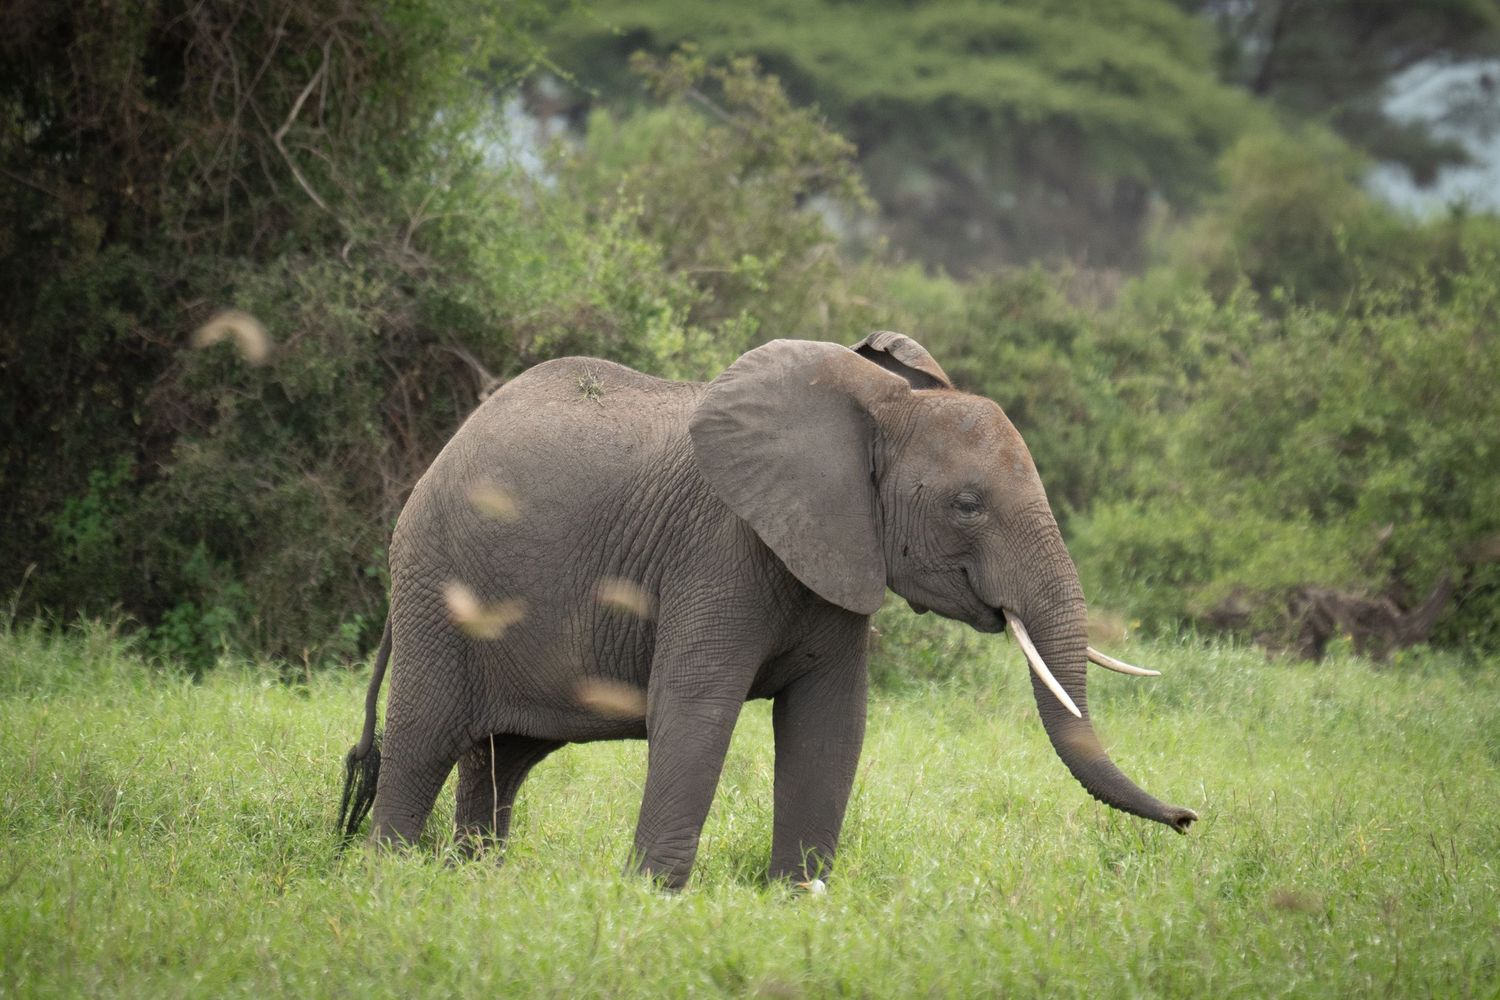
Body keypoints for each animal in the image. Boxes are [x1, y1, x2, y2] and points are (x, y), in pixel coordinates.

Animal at [337, 332, 1197, 889]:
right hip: (437, 590)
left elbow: (831, 721)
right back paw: (392, 883)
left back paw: (477, 885)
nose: (1191, 819)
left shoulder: (837, 551)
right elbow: (698, 708)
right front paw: (650, 898)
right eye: (968, 505)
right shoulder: (721, 547)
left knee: (501, 758)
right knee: (424, 741)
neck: (879, 408)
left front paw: (798, 899)